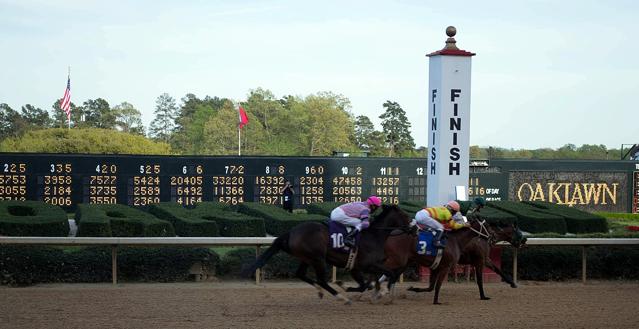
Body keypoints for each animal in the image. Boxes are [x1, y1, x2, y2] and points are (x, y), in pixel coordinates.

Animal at [242, 204, 412, 304]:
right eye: (406, 216)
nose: (414, 227)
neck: (374, 235)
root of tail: (291, 232)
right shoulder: (366, 265)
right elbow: (378, 279)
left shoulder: (360, 267)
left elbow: (370, 282)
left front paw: (377, 292)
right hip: (318, 258)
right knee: (322, 280)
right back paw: (341, 297)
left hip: (307, 258)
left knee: (301, 274)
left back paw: (321, 291)